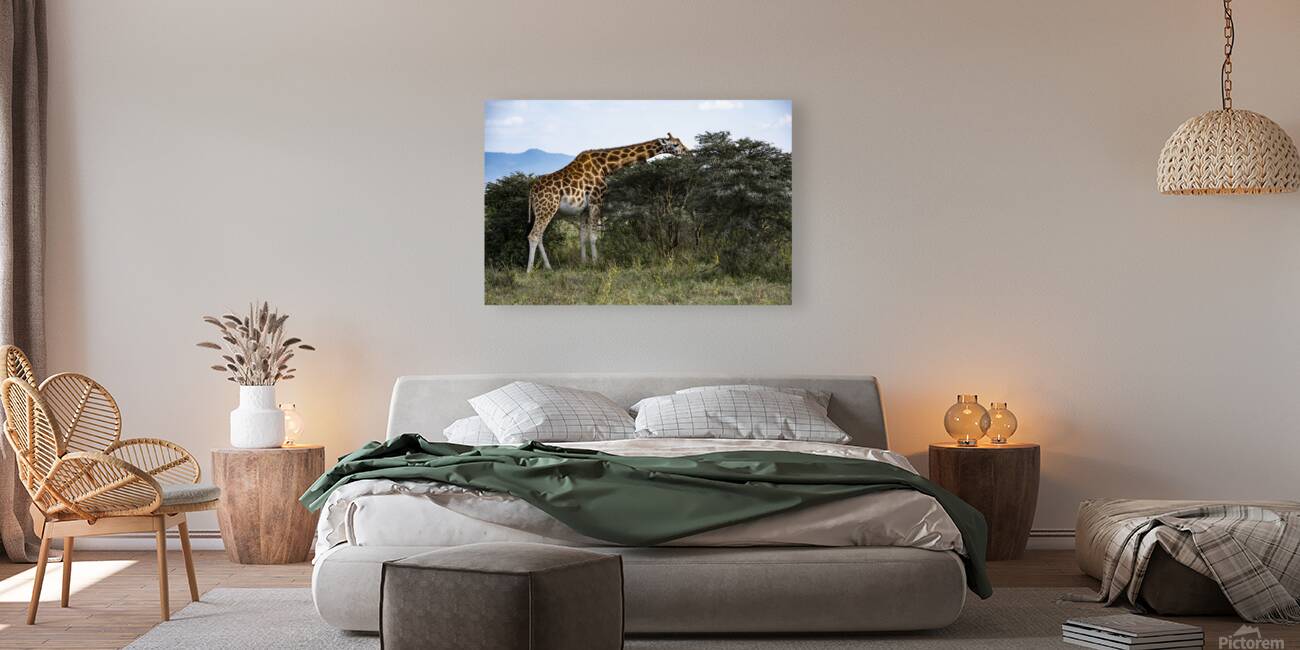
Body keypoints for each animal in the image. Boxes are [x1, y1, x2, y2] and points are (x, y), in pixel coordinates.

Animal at [526, 133, 689, 273]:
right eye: (675, 144)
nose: (687, 152)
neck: (606, 166)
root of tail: (532, 191)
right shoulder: (596, 200)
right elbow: (594, 236)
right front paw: (596, 263)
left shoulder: (584, 209)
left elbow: (582, 236)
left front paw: (584, 263)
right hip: (547, 209)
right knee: (533, 235)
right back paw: (529, 271)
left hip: (544, 211)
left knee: (540, 236)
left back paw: (548, 267)